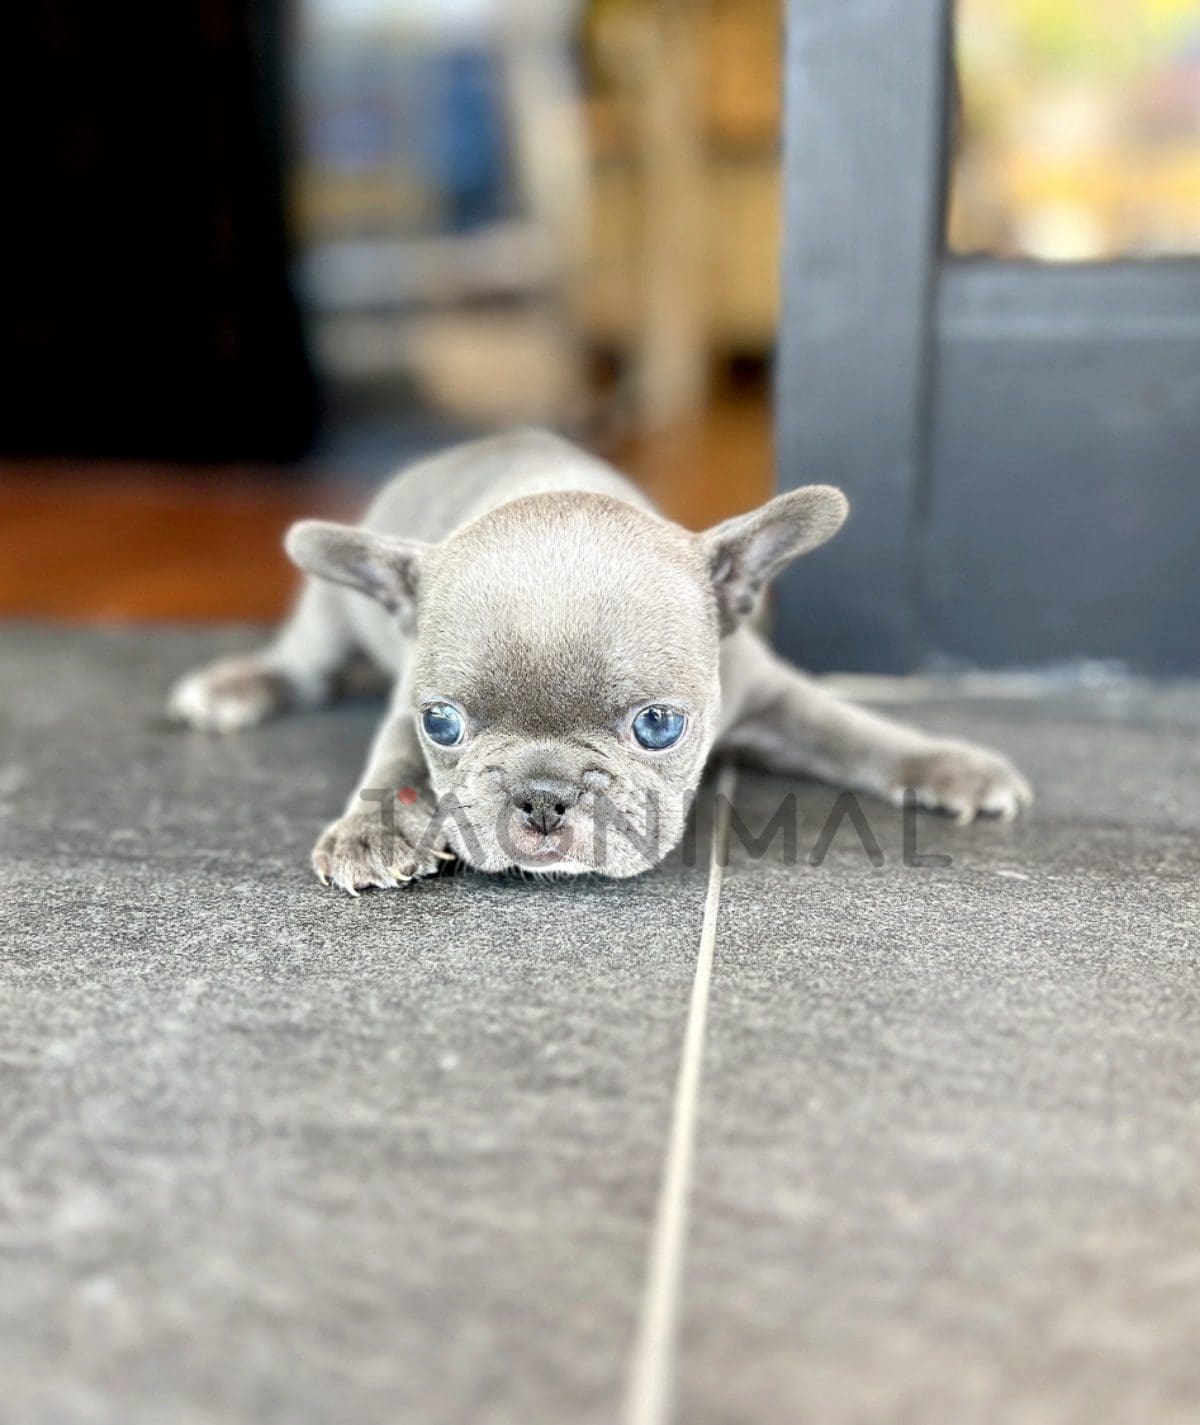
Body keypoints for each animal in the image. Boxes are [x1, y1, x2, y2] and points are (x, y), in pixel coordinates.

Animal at [168, 430, 1031, 891]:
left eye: (659, 727)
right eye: (441, 724)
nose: (544, 797)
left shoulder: (771, 693)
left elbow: (852, 730)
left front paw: (951, 764)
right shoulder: (405, 698)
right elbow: (389, 757)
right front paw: (373, 826)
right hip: (329, 615)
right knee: (303, 664)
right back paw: (234, 684)